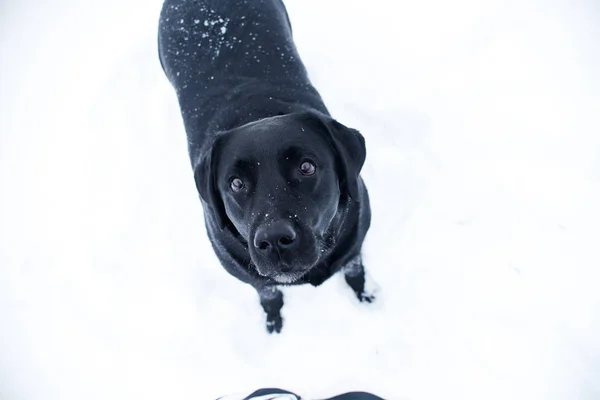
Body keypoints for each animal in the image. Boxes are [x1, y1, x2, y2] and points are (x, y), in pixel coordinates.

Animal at [159, 0, 376, 332]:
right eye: (236, 183)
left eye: (307, 167)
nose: (274, 239)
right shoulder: (249, 274)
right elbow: (269, 293)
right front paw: (273, 320)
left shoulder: (355, 236)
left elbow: (354, 269)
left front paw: (364, 295)